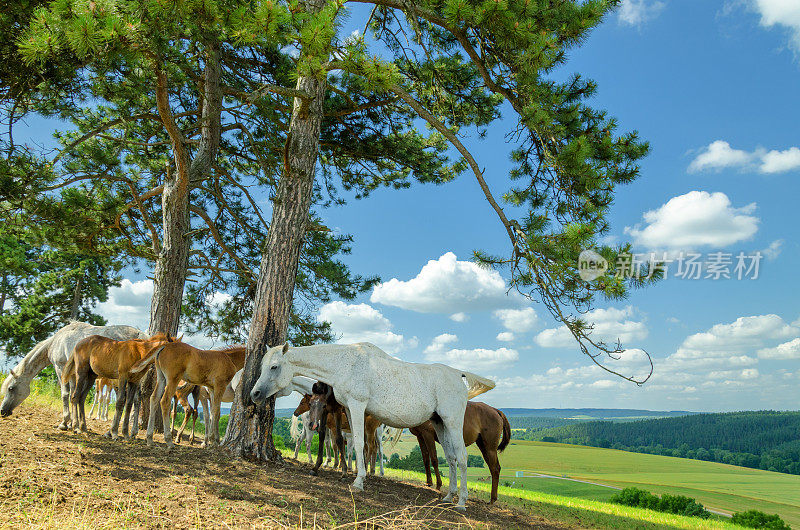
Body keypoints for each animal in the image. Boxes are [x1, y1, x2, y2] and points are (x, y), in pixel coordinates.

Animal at [1, 320, 147, 426]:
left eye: (11, 388)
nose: (2, 411)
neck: (56, 342)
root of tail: (143, 336)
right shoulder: (72, 374)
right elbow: (73, 393)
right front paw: (73, 423)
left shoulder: (60, 368)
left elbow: (65, 394)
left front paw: (65, 422)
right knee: (136, 400)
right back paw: (132, 432)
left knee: (133, 401)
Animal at [252, 340, 494, 510]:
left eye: (274, 367)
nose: (254, 394)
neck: (346, 364)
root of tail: (458, 374)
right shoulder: (349, 410)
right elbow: (351, 445)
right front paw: (352, 473)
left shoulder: (358, 406)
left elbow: (358, 444)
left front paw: (358, 481)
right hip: (440, 423)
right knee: (452, 458)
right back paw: (448, 496)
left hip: (452, 422)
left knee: (461, 457)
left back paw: (461, 502)